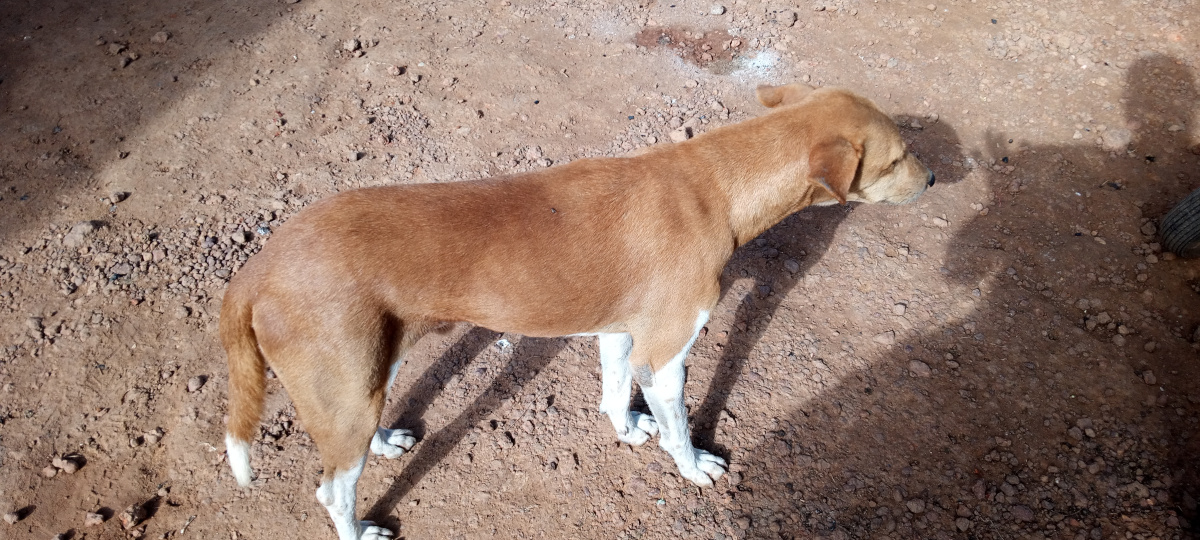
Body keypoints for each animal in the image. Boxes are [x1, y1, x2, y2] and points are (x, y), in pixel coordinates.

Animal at [220, 83, 934, 539]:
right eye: (899, 157)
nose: (932, 179)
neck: (713, 184)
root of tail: (257, 268)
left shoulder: (621, 333)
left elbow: (615, 393)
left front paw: (626, 429)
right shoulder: (666, 353)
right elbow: (679, 429)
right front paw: (692, 467)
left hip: (365, 371)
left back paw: (386, 440)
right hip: (345, 383)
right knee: (331, 491)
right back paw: (360, 527)